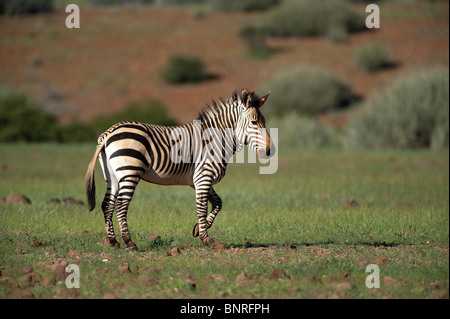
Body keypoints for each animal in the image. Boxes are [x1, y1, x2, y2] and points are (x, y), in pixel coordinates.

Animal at [84, 89, 274, 251]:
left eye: (264, 122)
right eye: (254, 122)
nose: (270, 151)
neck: (216, 139)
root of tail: (108, 133)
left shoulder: (198, 179)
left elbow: (218, 202)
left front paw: (197, 229)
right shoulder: (203, 177)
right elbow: (202, 207)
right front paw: (207, 240)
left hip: (113, 176)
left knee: (107, 204)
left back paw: (113, 241)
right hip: (129, 171)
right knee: (121, 205)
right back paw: (129, 242)